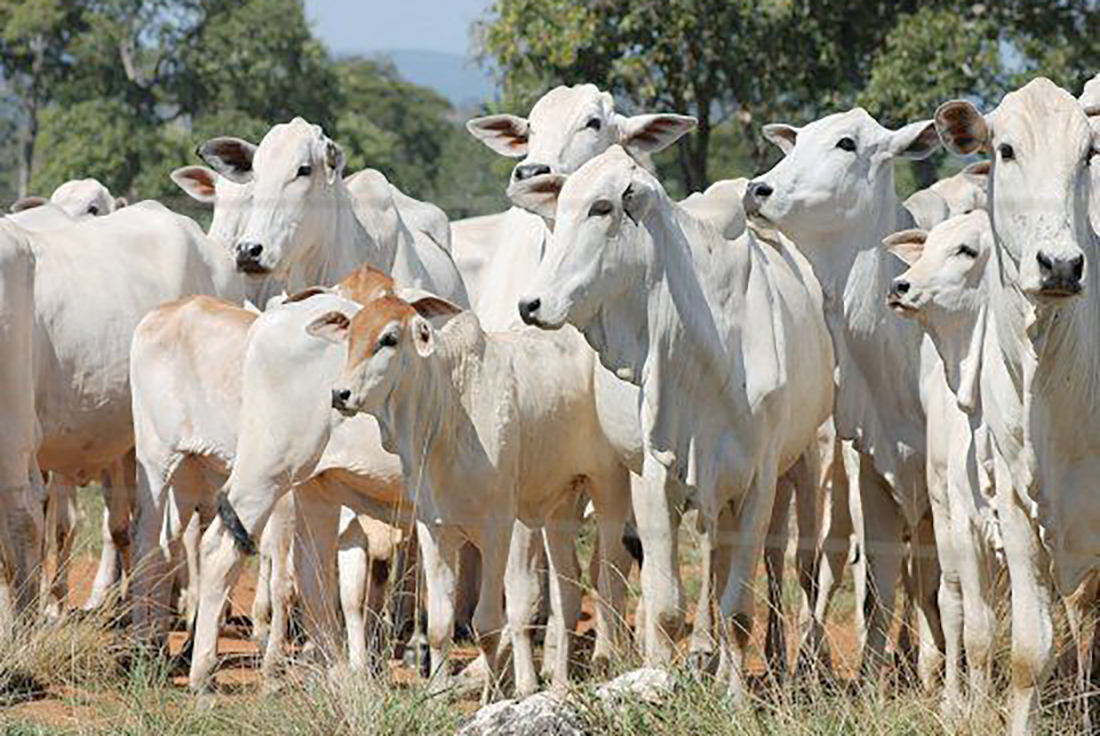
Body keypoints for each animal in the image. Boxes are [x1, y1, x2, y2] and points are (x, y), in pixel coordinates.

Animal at [517, 146, 831, 699]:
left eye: (602, 207)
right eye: (562, 208)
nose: (530, 304)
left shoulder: (758, 480)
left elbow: (739, 609)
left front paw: (736, 698)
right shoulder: (653, 474)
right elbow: (664, 606)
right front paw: (655, 684)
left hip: (801, 464)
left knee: (780, 566)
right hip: (610, 477)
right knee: (606, 568)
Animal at [743, 106, 950, 682]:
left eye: (846, 143)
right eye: (797, 141)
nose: (758, 189)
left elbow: (939, 588)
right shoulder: (874, 472)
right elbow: (881, 585)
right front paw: (876, 679)